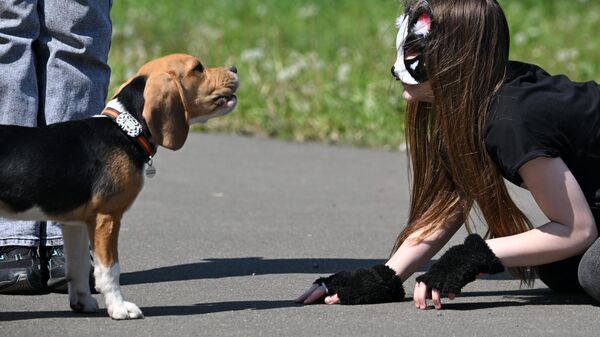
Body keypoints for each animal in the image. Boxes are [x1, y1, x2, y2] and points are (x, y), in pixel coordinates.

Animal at [0, 53, 239, 318]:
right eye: (198, 68)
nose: (235, 68)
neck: (126, 129)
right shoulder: (107, 217)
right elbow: (110, 269)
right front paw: (119, 307)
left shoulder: (75, 223)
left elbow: (79, 266)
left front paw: (82, 302)